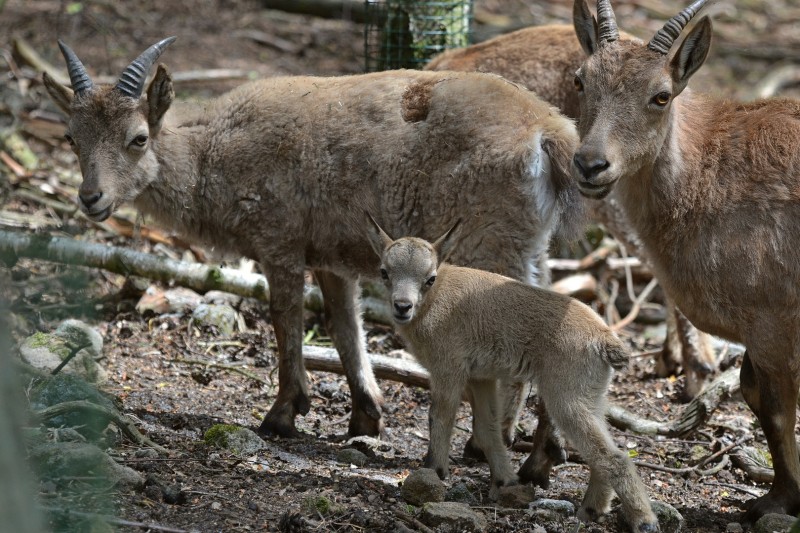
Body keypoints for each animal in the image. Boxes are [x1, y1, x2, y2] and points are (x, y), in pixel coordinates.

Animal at [43, 38, 580, 440]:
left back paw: (489, 443)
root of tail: (549, 132)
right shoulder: (333, 255)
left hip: (490, 242)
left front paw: (282, 413)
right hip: (529, 243)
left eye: (138, 138)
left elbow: (286, 318)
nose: (91, 198)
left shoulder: (279, 239)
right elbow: (345, 327)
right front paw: (366, 417)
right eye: (71, 137)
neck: (214, 153)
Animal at [368, 217, 656, 532]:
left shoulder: (448, 369)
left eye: (429, 278)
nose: (402, 307)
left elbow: (440, 418)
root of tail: (604, 339)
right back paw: (591, 510)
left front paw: (434, 471)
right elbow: (488, 430)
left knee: (613, 457)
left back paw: (643, 520)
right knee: (602, 452)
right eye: (384, 271)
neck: (434, 302)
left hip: (565, 398)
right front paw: (505, 480)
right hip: (593, 398)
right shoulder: (481, 378)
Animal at [572, 0, 800, 520]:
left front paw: (782, 500)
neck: (706, 178)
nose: (591, 165)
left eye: (661, 95)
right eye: (580, 80)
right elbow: (753, 394)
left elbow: (777, 409)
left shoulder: (774, 321)